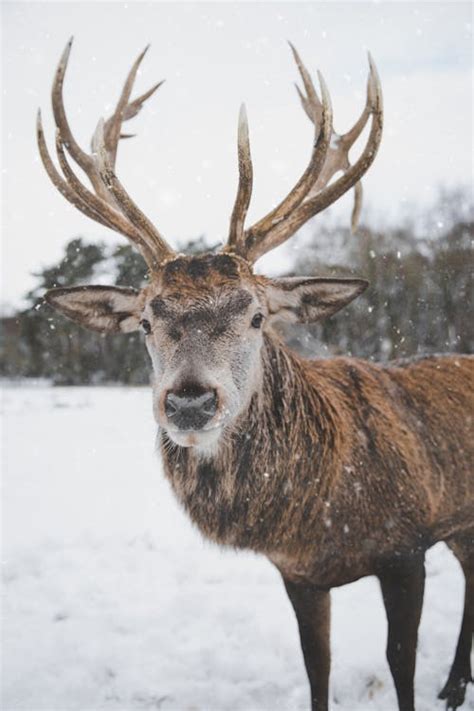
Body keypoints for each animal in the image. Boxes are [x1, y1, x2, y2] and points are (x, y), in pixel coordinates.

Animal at [38, 37, 474, 711]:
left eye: (256, 314)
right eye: (146, 321)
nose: (190, 402)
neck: (323, 513)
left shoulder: (407, 545)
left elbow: (400, 664)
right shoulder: (298, 573)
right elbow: (317, 667)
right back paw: (454, 684)